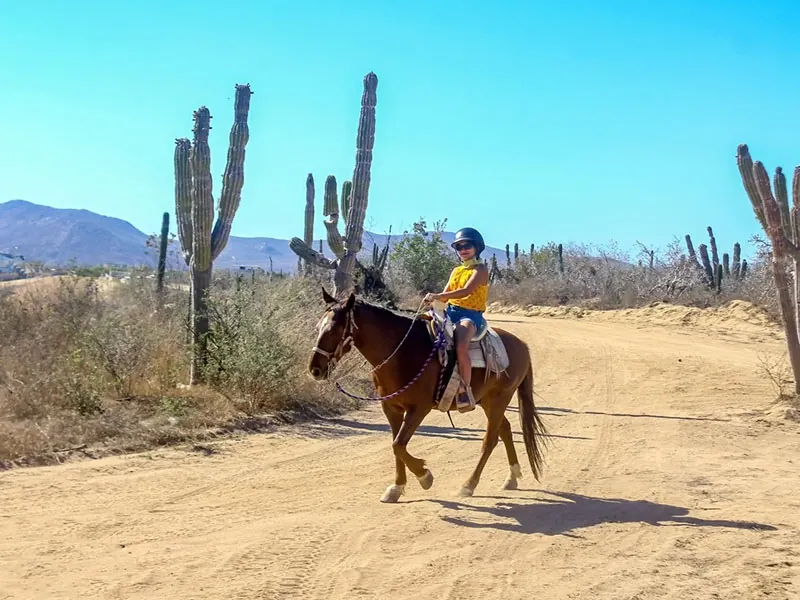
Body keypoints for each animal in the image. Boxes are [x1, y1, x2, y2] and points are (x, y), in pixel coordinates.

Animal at [309, 288, 548, 503]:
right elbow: (396, 445)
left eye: (333, 330)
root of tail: (522, 345)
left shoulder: (418, 408)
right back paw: (512, 477)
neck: (402, 351)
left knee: (490, 440)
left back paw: (469, 485)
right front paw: (396, 488)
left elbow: (398, 445)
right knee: (505, 429)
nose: (315, 369)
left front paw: (425, 476)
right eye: (318, 327)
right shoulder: (391, 408)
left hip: (500, 398)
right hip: (487, 401)